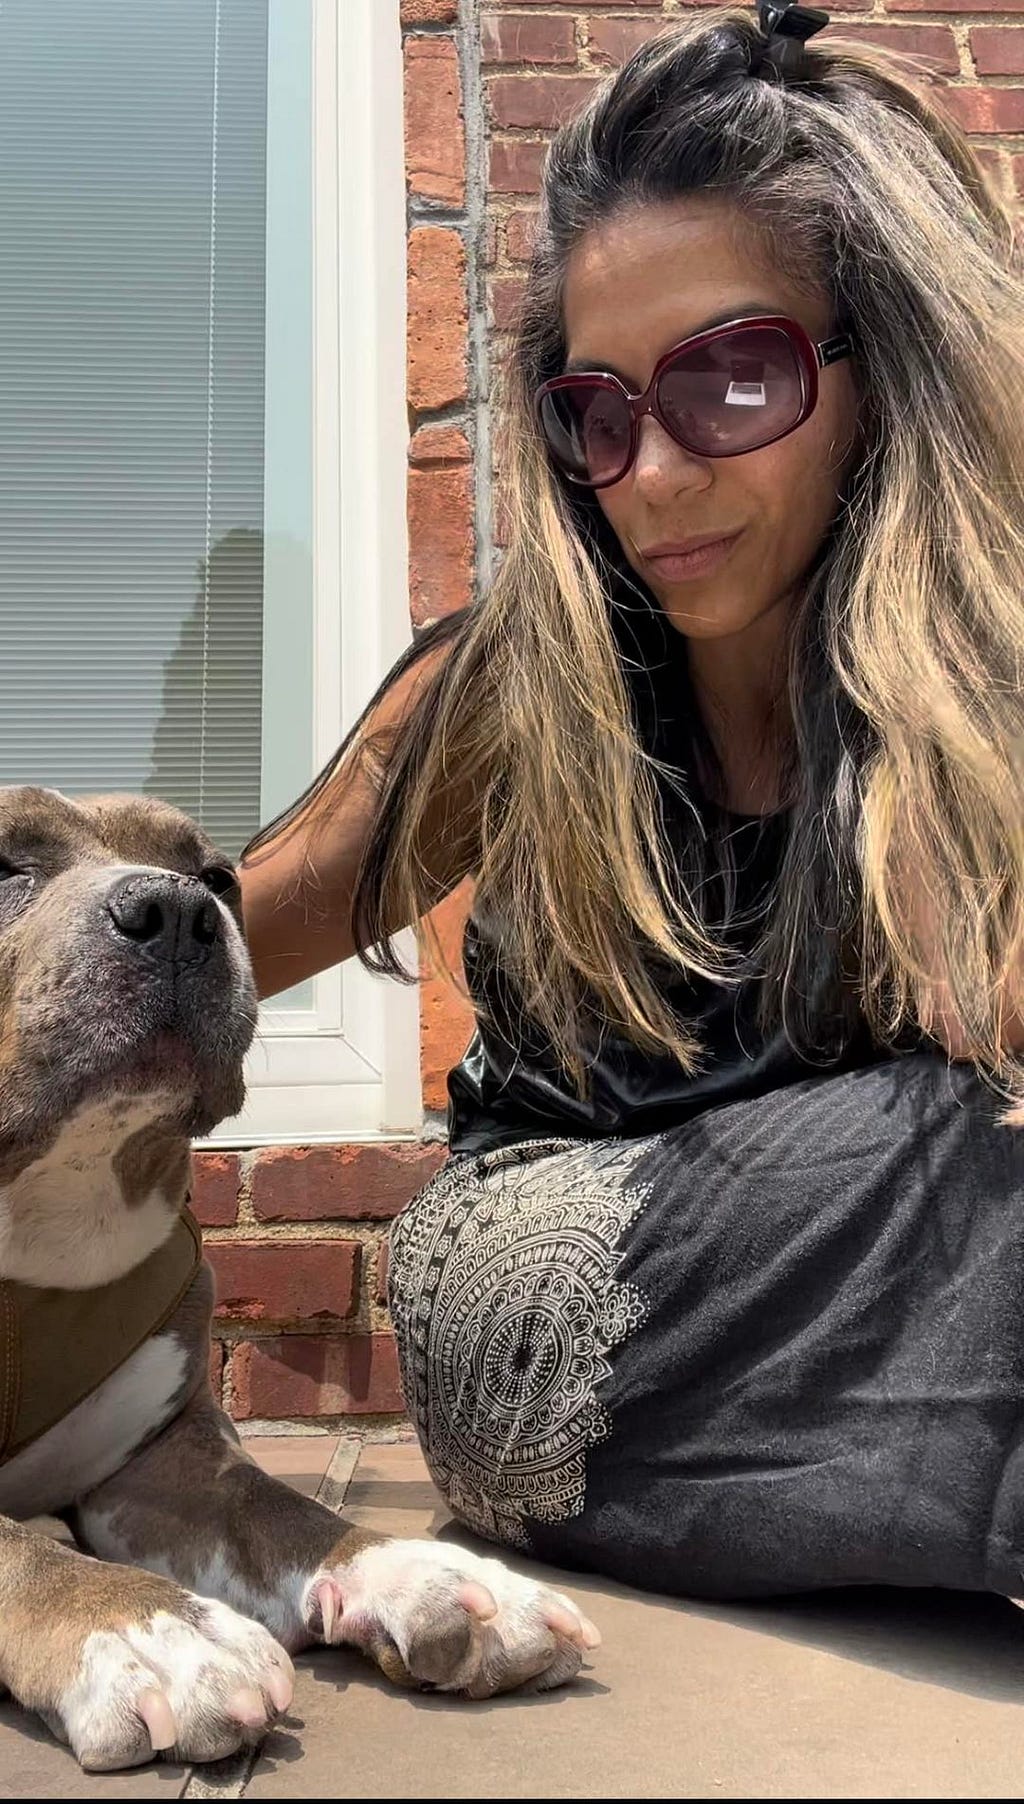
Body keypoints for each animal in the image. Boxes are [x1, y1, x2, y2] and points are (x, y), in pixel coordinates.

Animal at [0, 793, 594, 1775]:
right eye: (6, 864)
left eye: (215, 877)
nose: (179, 911)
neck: (43, 1223)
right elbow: (7, 1547)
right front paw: (142, 1629)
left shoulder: (161, 1468)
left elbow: (277, 1511)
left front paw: (422, 1575)